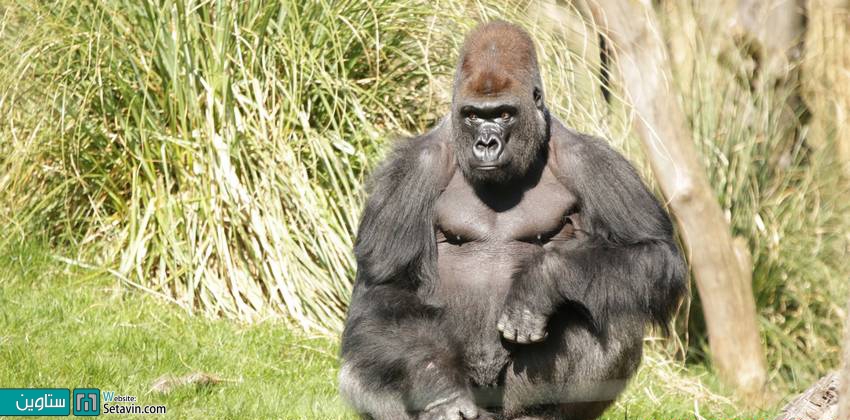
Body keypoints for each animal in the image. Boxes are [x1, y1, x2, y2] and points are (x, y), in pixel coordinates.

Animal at [336, 21, 684, 420]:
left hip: (513, 398)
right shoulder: (410, 170)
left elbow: (653, 251)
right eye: (473, 115)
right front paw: (440, 390)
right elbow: (388, 287)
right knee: (360, 364)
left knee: (617, 312)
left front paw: (542, 281)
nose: (486, 143)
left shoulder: (594, 161)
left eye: (503, 114)